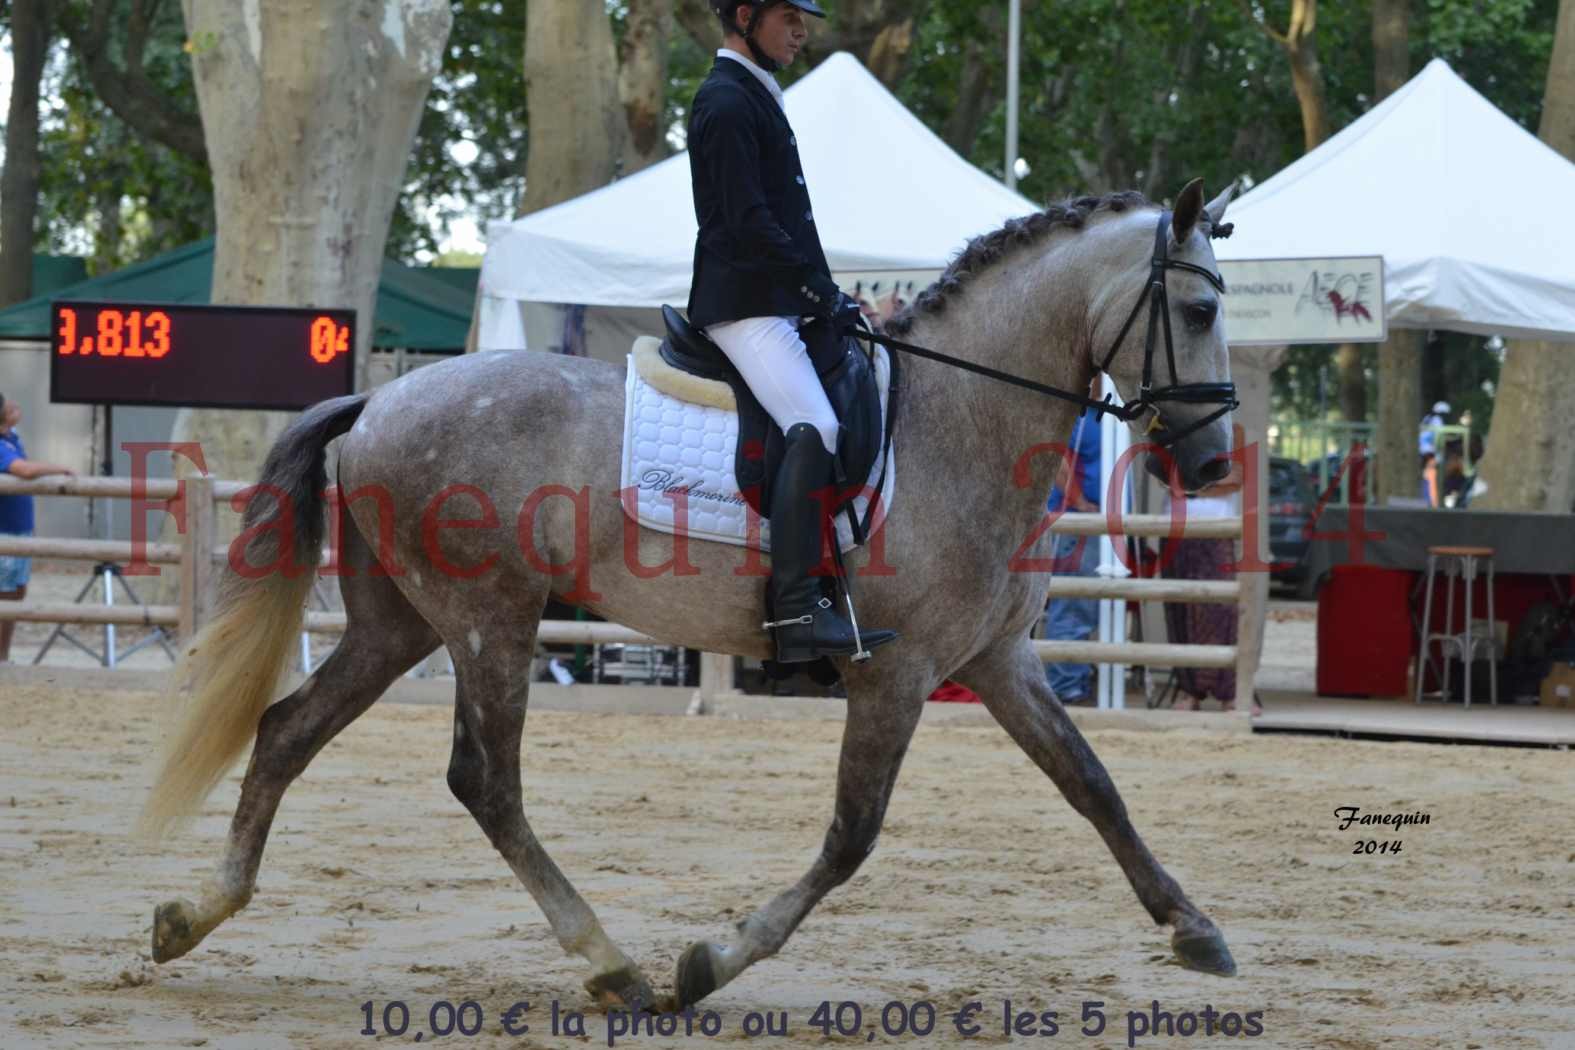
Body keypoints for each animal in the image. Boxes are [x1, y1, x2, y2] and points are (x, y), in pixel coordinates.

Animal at [135, 178, 1241, 1007]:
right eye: (1199, 309)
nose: (1214, 461)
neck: (959, 420)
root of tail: (376, 399)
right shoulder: (896, 674)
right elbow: (851, 836)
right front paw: (713, 961)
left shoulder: (997, 660)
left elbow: (1092, 785)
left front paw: (1193, 928)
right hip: (491, 621)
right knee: (484, 782)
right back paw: (609, 963)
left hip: (400, 626)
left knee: (288, 730)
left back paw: (195, 914)